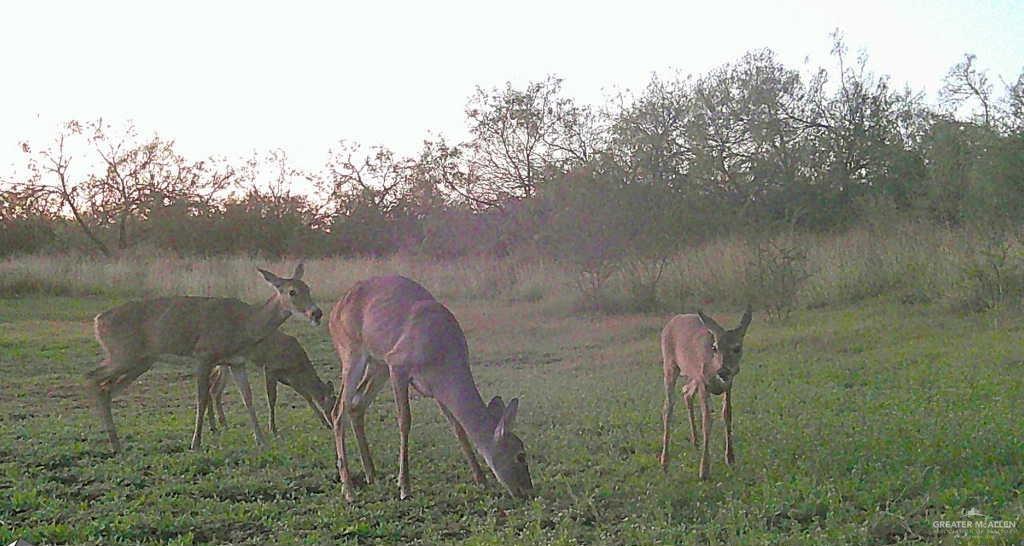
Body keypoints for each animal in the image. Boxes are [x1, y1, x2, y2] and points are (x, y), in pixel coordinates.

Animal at [86, 262, 321, 450]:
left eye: (308, 288)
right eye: (292, 291)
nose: (316, 313)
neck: (244, 325)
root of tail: (98, 321)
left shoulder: (236, 362)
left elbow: (248, 398)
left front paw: (261, 440)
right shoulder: (203, 354)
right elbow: (201, 397)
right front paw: (196, 442)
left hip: (139, 361)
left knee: (106, 387)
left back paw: (115, 442)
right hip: (123, 354)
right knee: (93, 376)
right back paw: (113, 441)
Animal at [204, 329, 335, 436]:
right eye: (333, 406)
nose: (333, 424)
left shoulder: (291, 379)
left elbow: (307, 397)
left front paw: (324, 423)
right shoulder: (270, 368)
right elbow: (272, 399)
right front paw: (272, 428)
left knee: (214, 390)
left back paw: (220, 425)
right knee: (213, 388)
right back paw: (216, 426)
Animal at [327, 274, 536, 499]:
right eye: (520, 455)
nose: (528, 490)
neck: (441, 353)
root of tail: (333, 311)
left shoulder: (436, 389)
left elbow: (458, 428)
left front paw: (481, 479)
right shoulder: (398, 364)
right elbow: (405, 421)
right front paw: (404, 486)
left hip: (377, 364)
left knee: (356, 404)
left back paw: (370, 474)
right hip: (352, 352)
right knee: (338, 410)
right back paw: (349, 489)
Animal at [655, 305, 753, 479]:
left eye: (737, 348)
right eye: (715, 347)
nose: (723, 371)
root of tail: (672, 321)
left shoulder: (728, 385)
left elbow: (727, 414)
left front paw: (730, 458)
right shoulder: (703, 384)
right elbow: (707, 419)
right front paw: (704, 469)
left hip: (693, 375)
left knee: (686, 392)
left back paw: (695, 441)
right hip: (670, 365)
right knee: (668, 407)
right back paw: (665, 461)